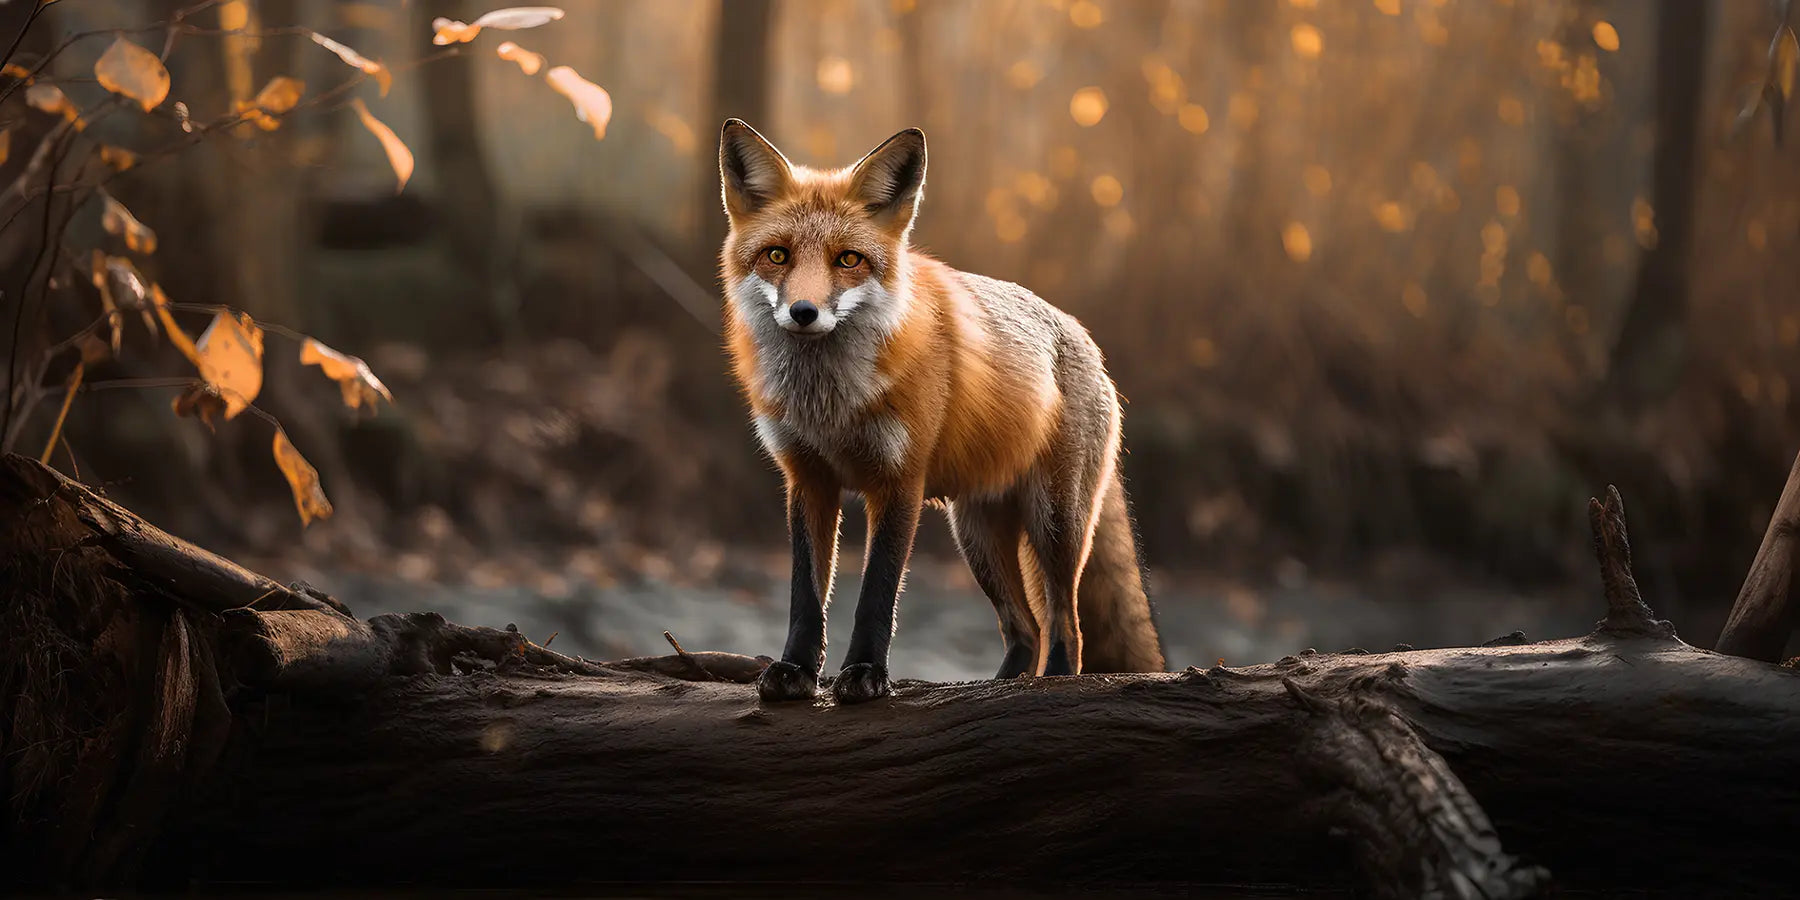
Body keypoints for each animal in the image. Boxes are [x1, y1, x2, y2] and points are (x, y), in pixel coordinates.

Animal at [717, 119, 1166, 704]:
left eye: (848, 259)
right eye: (777, 256)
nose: (803, 312)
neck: (831, 406)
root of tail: (1086, 338)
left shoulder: (899, 482)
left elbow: (876, 595)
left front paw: (865, 674)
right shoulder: (808, 479)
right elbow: (805, 596)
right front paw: (795, 670)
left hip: (1053, 525)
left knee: (1064, 625)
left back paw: (1053, 685)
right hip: (976, 537)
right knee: (1024, 629)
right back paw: (993, 688)